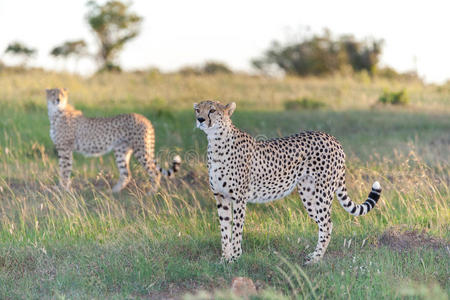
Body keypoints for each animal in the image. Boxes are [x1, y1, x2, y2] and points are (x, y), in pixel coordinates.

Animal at [45, 88, 179, 193]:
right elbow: (63, 168)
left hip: (141, 150)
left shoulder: (65, 149)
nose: (58, 99)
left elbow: (65, 169)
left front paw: (63, 189)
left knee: (154, 171)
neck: (56, 113)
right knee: (126, 174)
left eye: (62, 94)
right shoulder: (63, 149)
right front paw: (63, 188)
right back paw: (112, 192)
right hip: (121, 150)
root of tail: (144, 118)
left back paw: (151, 193)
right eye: (53, 93)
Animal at [195, 100, 382, 262]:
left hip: (322, 194)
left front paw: (234, 257)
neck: (216, 142)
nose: (200, 119)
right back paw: (314, 255)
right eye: (198, 110)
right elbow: (224, 230)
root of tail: (332, 138)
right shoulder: (221, 197)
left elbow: (236, 229)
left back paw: (315, 259)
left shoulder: (239, 198)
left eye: (212, 110)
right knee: (323, 224)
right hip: (308, 196)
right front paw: (224, 259)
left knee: (327, 224)